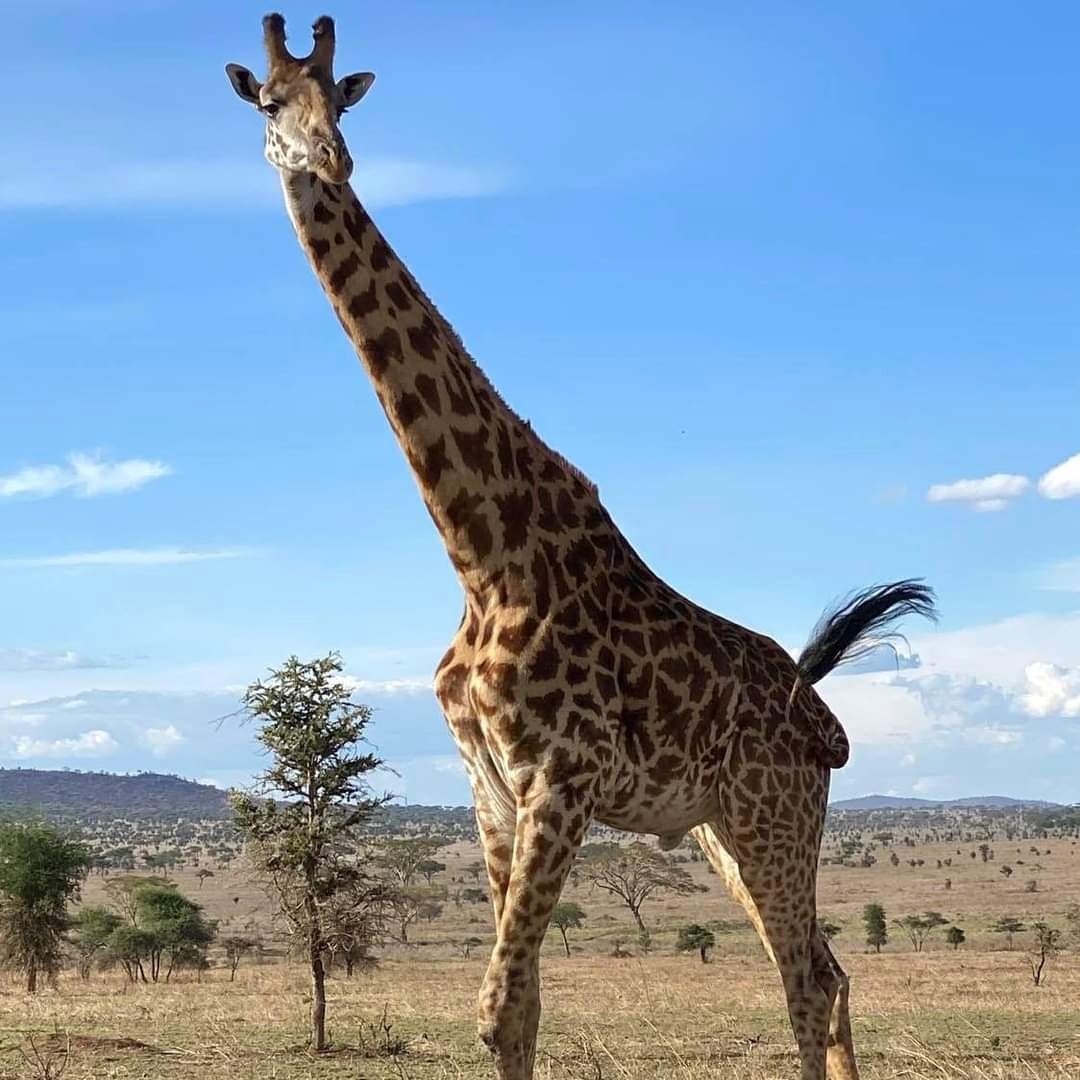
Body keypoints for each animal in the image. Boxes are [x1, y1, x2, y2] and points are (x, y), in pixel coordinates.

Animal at [226, 16, 937, 1080]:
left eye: (341, 100)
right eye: (271, 102)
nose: (330, 159)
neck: (482, 550)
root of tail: (821, 711)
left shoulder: (558, 781)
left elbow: (497, 1004)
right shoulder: (489, 791)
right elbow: (518, 1007)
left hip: (774, 814)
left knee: (806, 981)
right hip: (725, 827)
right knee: (829, 968)